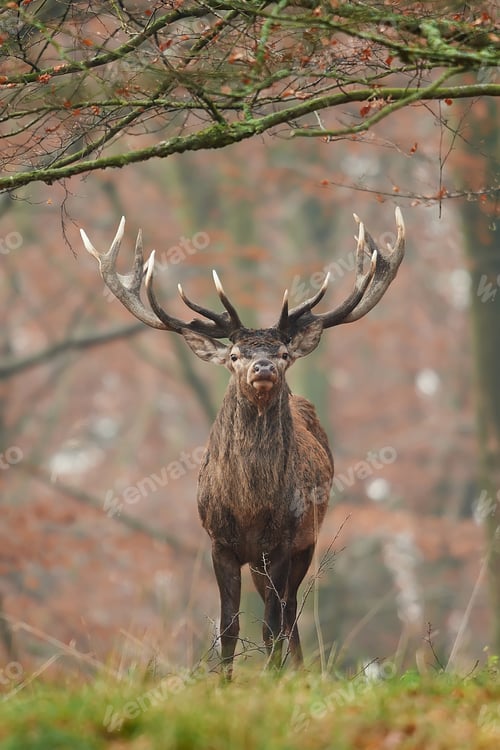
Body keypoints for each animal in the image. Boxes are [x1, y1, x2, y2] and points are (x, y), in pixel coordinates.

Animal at [81, 207, 404, 678]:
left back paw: (298, 672)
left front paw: (271, 678)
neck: (250, 506)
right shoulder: (220, 542)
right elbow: (228, 626)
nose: (263, 366)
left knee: (288, 612)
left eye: (284, 354)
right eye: (234, 355)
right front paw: (224, 682)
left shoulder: (283, 542)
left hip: (307, 540)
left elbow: (270, 624)